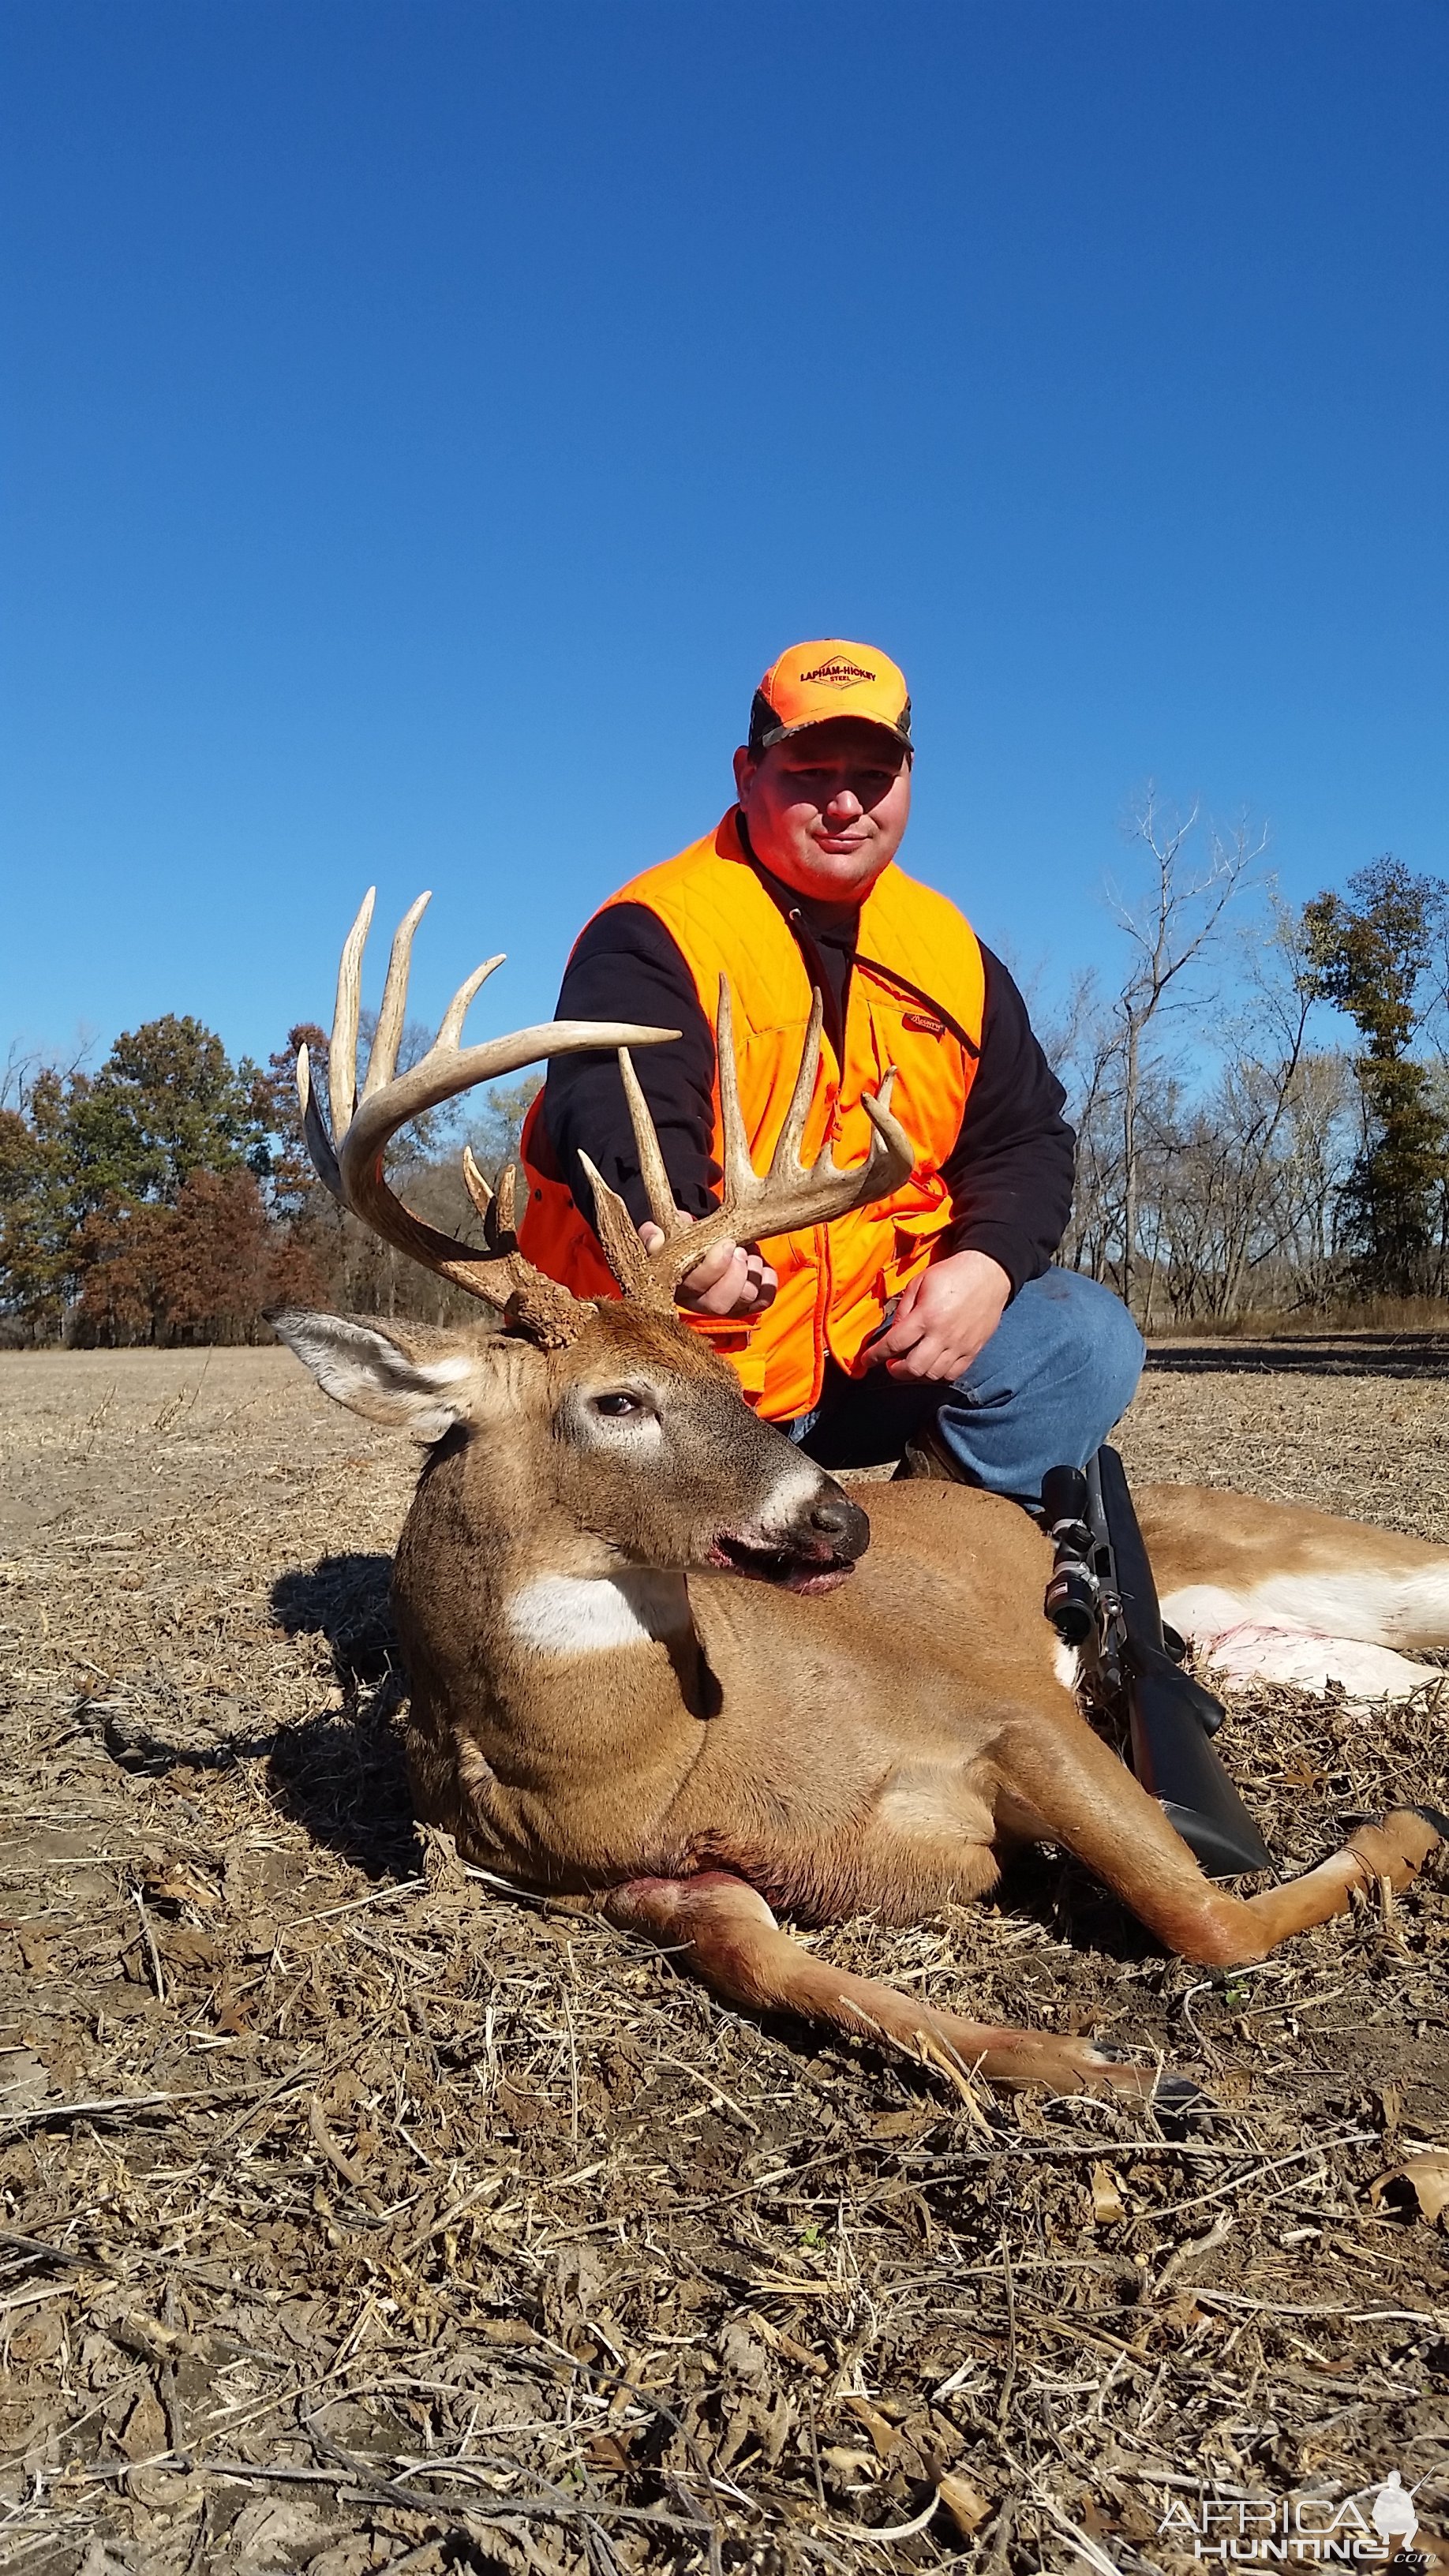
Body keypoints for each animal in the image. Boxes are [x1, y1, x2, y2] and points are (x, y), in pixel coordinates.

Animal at [268, 896, 1433, 2102]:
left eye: (726, 1374)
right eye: (618, 1400)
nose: (842, 1517)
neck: (637, 1763)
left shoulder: (1014, 1708)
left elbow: (1207, 1915)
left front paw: (1402, 1832)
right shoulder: (658, 1889)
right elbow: (803, 1983)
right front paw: (1098, 2065)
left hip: (1325, 1551)